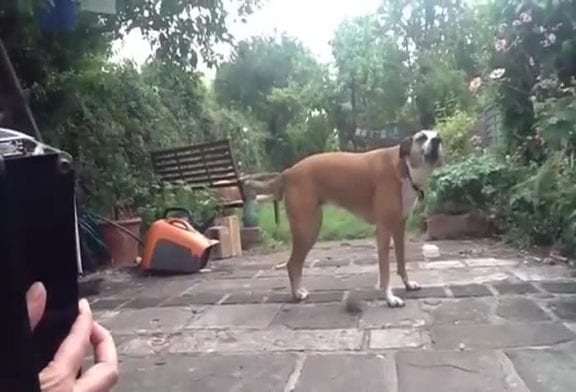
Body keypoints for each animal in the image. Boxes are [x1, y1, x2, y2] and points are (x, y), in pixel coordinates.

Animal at [249, 130, 446, 308]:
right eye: (421, 137)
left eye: (437, 135)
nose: (437, 140)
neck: (403, 167)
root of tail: (288, 172)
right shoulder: (383, 229)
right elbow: (385, 272)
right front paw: (390, 298)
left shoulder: (399, 228)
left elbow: (401, 262)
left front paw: (407, 284)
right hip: (308, 229)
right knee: (292, 264)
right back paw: (297, 294)